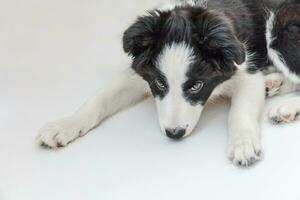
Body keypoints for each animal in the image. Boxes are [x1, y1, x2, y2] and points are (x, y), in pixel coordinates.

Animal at [36, 0, 296, 166]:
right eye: (160, 85)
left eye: (196, 86)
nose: (174, 134)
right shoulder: (140, 73)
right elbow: (100, 98)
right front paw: (66, 124)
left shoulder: (247, 71)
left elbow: (240, 112)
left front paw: (243, 143)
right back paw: (273, 85)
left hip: (279, 27)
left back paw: (287, 107)